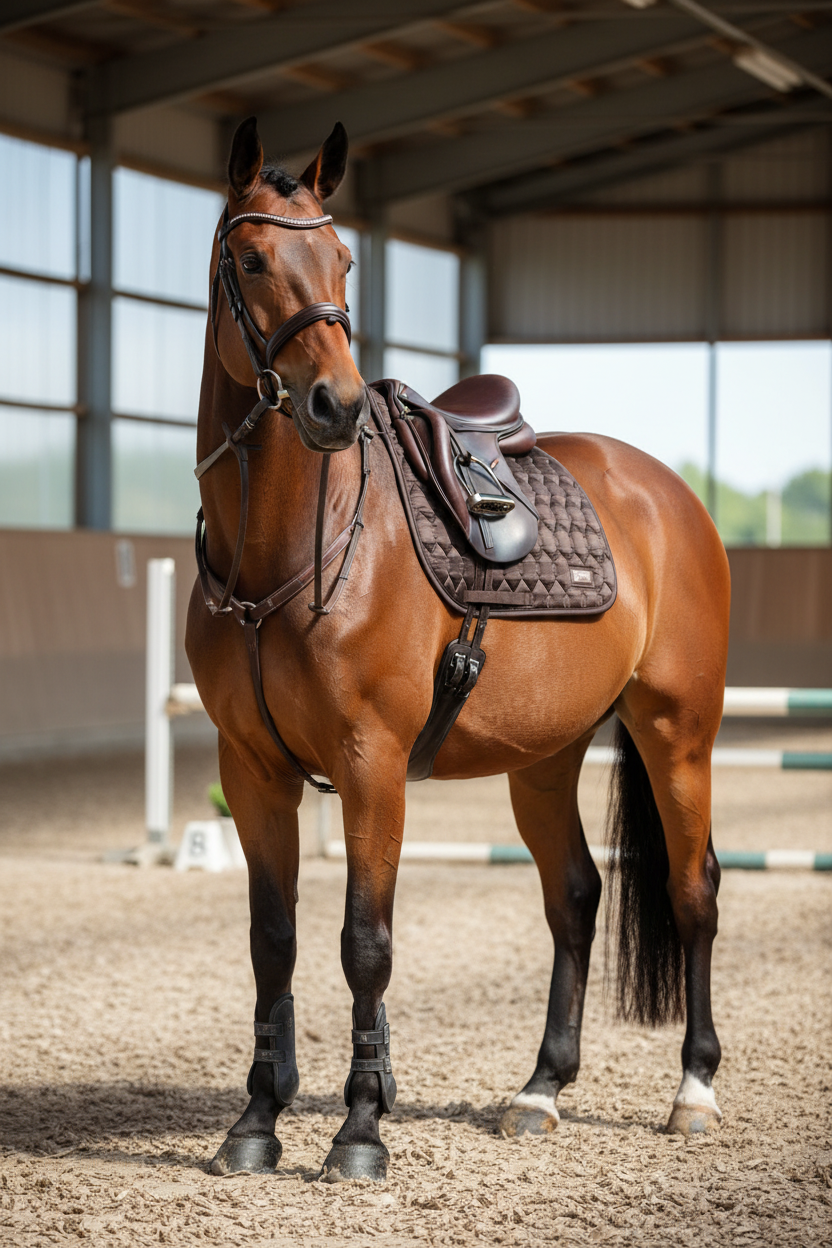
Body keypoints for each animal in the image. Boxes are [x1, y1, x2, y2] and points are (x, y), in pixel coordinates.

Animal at [185, 116, 730, 1182]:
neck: (295, 548)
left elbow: (365, 942)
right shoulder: (252, 769)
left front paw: (360, 1131)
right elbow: (275, 940)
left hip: (677, 734)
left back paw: (693, 1090)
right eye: (252, 258)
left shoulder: (372, 764)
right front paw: (257, 1122)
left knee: (693, 892)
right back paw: (542, 1089)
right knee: (575, 896)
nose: (333, 403)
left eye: (344, 259)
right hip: (548, 755)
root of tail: (667, 493)